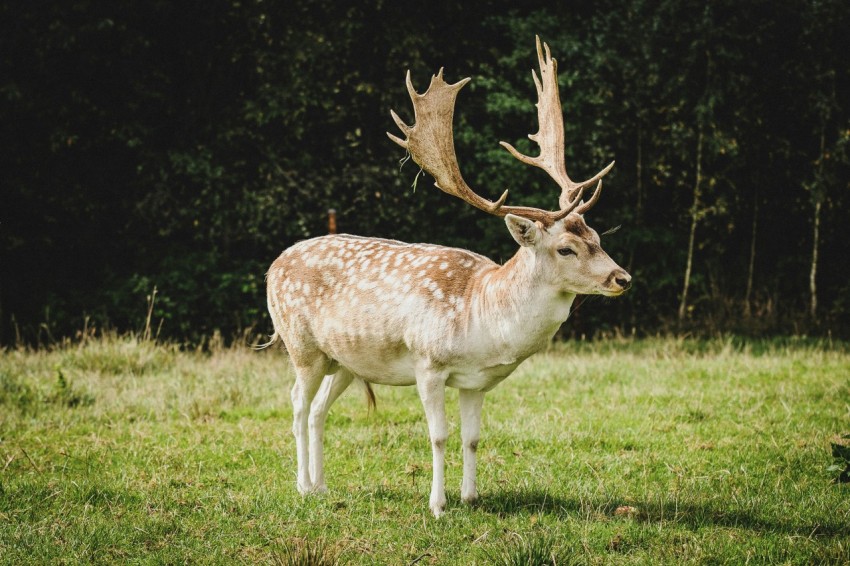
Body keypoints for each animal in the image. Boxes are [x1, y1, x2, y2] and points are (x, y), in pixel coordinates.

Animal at [264, 37, 628, 520]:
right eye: (566, 248)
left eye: (597, 237)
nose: (622, 278)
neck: (482, 316)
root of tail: (272, 266)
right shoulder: (428, 362)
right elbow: (438, 435)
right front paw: (437, 505)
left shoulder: (477, 382)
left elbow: (472, 437)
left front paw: (471, 497)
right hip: (300, 345)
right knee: (296, 404)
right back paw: (303, 486)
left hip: (343, 359)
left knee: (320, 408)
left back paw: (323, 486)